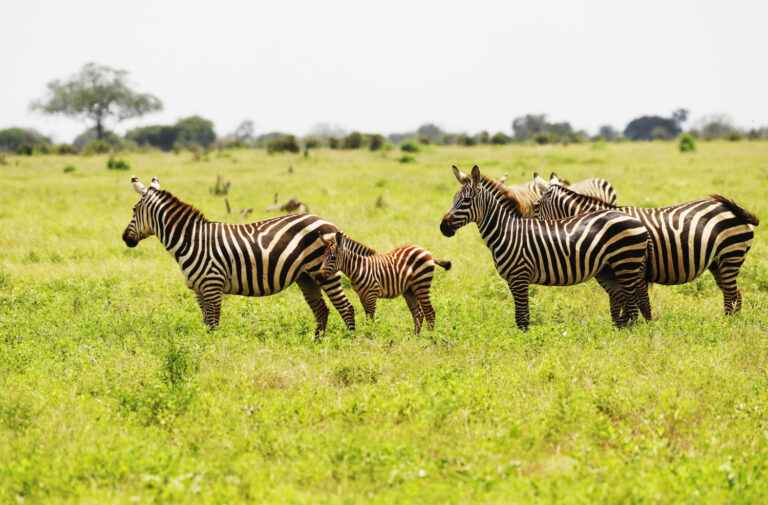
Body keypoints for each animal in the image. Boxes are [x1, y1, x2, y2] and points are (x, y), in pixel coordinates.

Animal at [121, 175, 376, 336]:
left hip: (325, 272)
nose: (125, 239)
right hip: (306, 277)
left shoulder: (212, 286)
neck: (191, 240)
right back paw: (317, 342)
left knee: (346, 307)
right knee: (321, 310)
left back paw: (348, 342)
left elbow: (213, 324)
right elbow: (205, 324)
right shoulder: (199, 290)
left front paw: (212, 354)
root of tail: (329, 223)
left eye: (133, 210)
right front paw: (203, 349)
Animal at [318, 232, 450, 334]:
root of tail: (426, 251)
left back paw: (430, 337)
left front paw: (370, 335)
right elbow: (368, 317)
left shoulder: (372, 294)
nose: (319, 277)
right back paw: (415, 337)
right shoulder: (362, 296)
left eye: (333, 257)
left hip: (421, 285)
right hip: (409, 290)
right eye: (323, 256)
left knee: (430, 312)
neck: (359, 267)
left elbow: (371, 318)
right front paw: (367, 334)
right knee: (418, 314)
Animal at [440, 166, 652, 330]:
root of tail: (637, 221)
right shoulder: (512, 280)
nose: (443, 227)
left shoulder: (520, 277)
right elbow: (520, 317)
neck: (507, 231)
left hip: (626, 265)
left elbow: (522, 319)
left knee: (633, 307)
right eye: (453, 199)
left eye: (466, 201)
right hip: (610, 269)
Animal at [532, 175, 760, 314]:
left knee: (731, 294)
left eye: (535, 207)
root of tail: (733, 209)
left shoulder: (637, 268)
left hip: (730, 255)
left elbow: (639, 302)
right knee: (734, 294)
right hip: (718, 263)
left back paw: (727, 326)